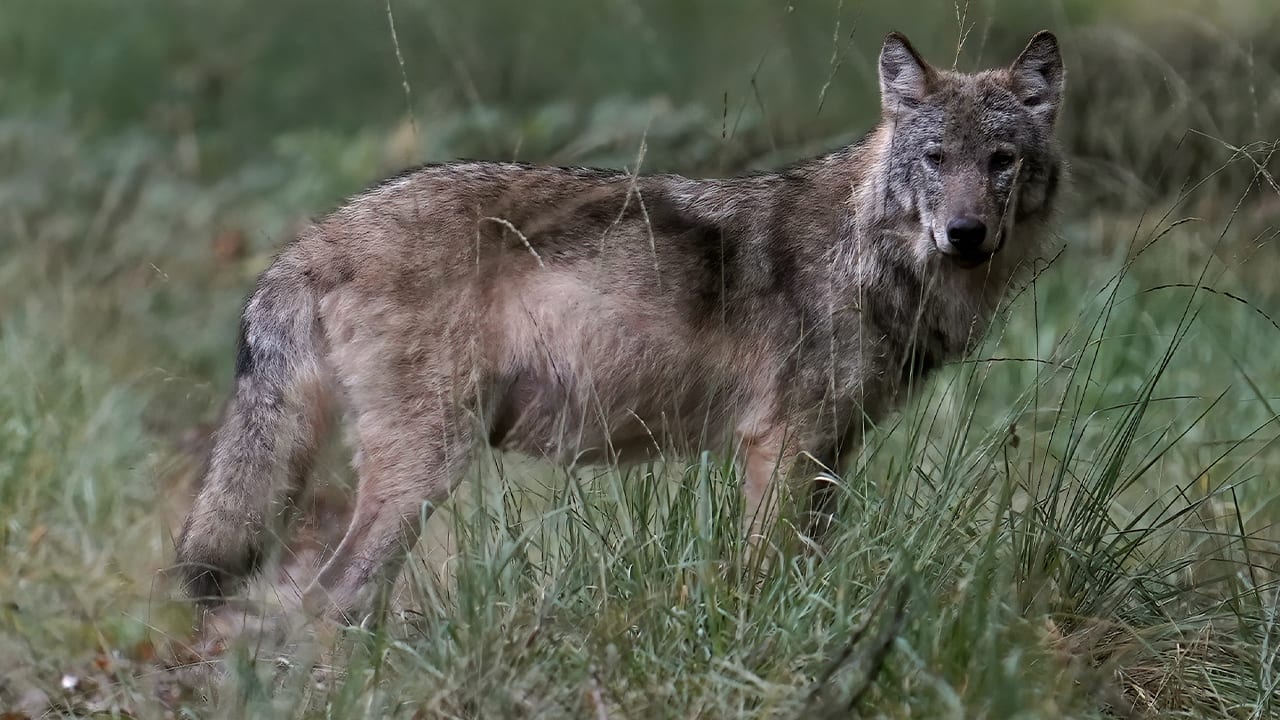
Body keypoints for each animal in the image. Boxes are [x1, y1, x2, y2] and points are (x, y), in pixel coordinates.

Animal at [175, 30, 1064, 620]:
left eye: (1001, 162)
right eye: (936, 159)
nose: (966, 234)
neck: (869, 254)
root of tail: (317, 235)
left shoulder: (831, 452)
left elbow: (805, 567)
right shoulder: (781, 444)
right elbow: (763, 575)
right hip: (426, 467)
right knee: (328, 600)